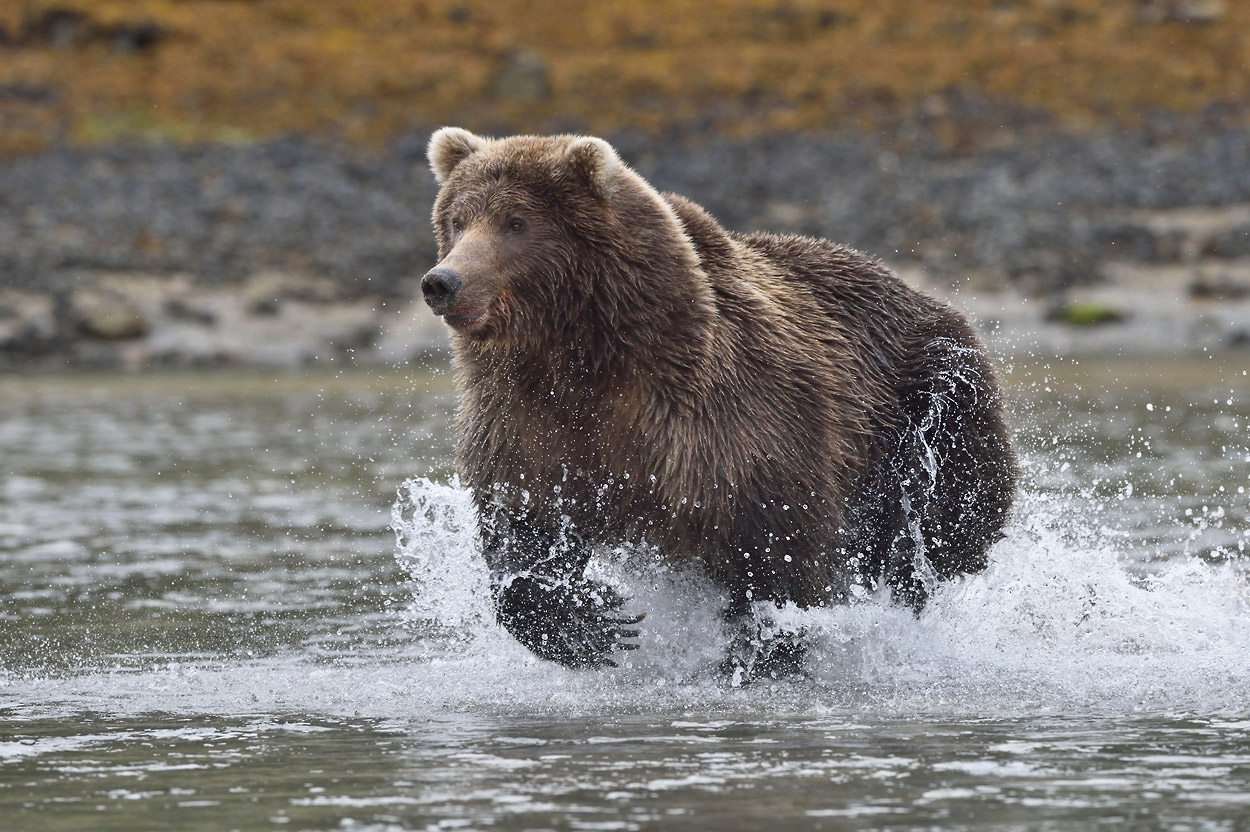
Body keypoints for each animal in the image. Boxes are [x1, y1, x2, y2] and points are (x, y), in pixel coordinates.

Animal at [421, 127, 1017, 679]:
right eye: (457, 220)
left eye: (515, 222)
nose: (443, 281)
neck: (582, 358)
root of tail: (919, 290)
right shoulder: (525, 422)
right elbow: (523, 528)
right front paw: (593, 623)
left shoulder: (727, 417)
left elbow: (780, 546)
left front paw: (760, 651)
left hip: (931, 402)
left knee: (946, 523)